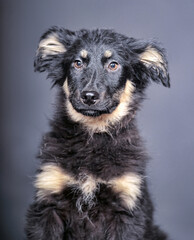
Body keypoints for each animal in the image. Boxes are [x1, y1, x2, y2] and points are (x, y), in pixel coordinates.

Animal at [25, 27, 170, 239]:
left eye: (113, 65)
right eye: (77, 63)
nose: (89, 96)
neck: (93, 134)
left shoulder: (126, 207)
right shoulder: (48, 203)